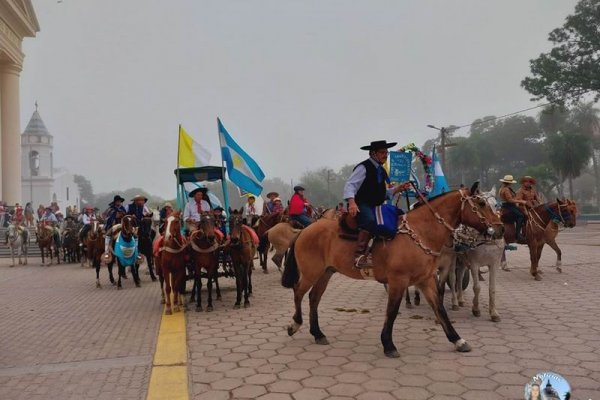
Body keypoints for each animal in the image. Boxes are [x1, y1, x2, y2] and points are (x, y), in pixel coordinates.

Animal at [282, 185, 502, 360]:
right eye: (481, 202)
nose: (499, 229)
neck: (420, 232)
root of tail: (305, 230)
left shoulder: (426, 280)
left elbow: (440, 309)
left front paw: (458, 340)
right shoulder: (398, 281)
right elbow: (392, 311)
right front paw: (388, 344)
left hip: (326, 273)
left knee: (313, 298)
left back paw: (318, 333)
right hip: (311, 272)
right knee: (298, 292)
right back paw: (295, 325)